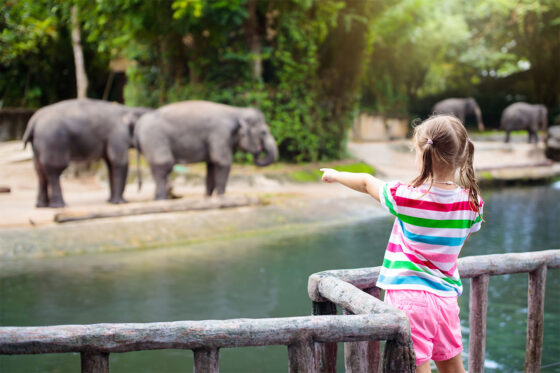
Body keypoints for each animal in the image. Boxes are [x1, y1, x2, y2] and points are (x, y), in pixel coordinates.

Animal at [21, 98, 150, 206]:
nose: (139, 187)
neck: (129, 109)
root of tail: (33, 122)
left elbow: (110, 164)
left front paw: (110, 201)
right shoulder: (118, 134)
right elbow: (119, 162)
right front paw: (119, 202)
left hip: (39, 145)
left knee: (40, 171)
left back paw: (41, 205)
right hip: (53, 141)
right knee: (54, 170)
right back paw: (59, 205)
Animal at [133, 99, 278, 198]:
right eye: (264, 132)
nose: (258, 151)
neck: (237, 111)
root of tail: (138, 125)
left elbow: (211, 166)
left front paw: (208, 197)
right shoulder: (220, 134)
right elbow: (222, 162)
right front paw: (221, 196)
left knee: (157, 169)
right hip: (155, 140)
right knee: (164, 166)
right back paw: (162, 198)